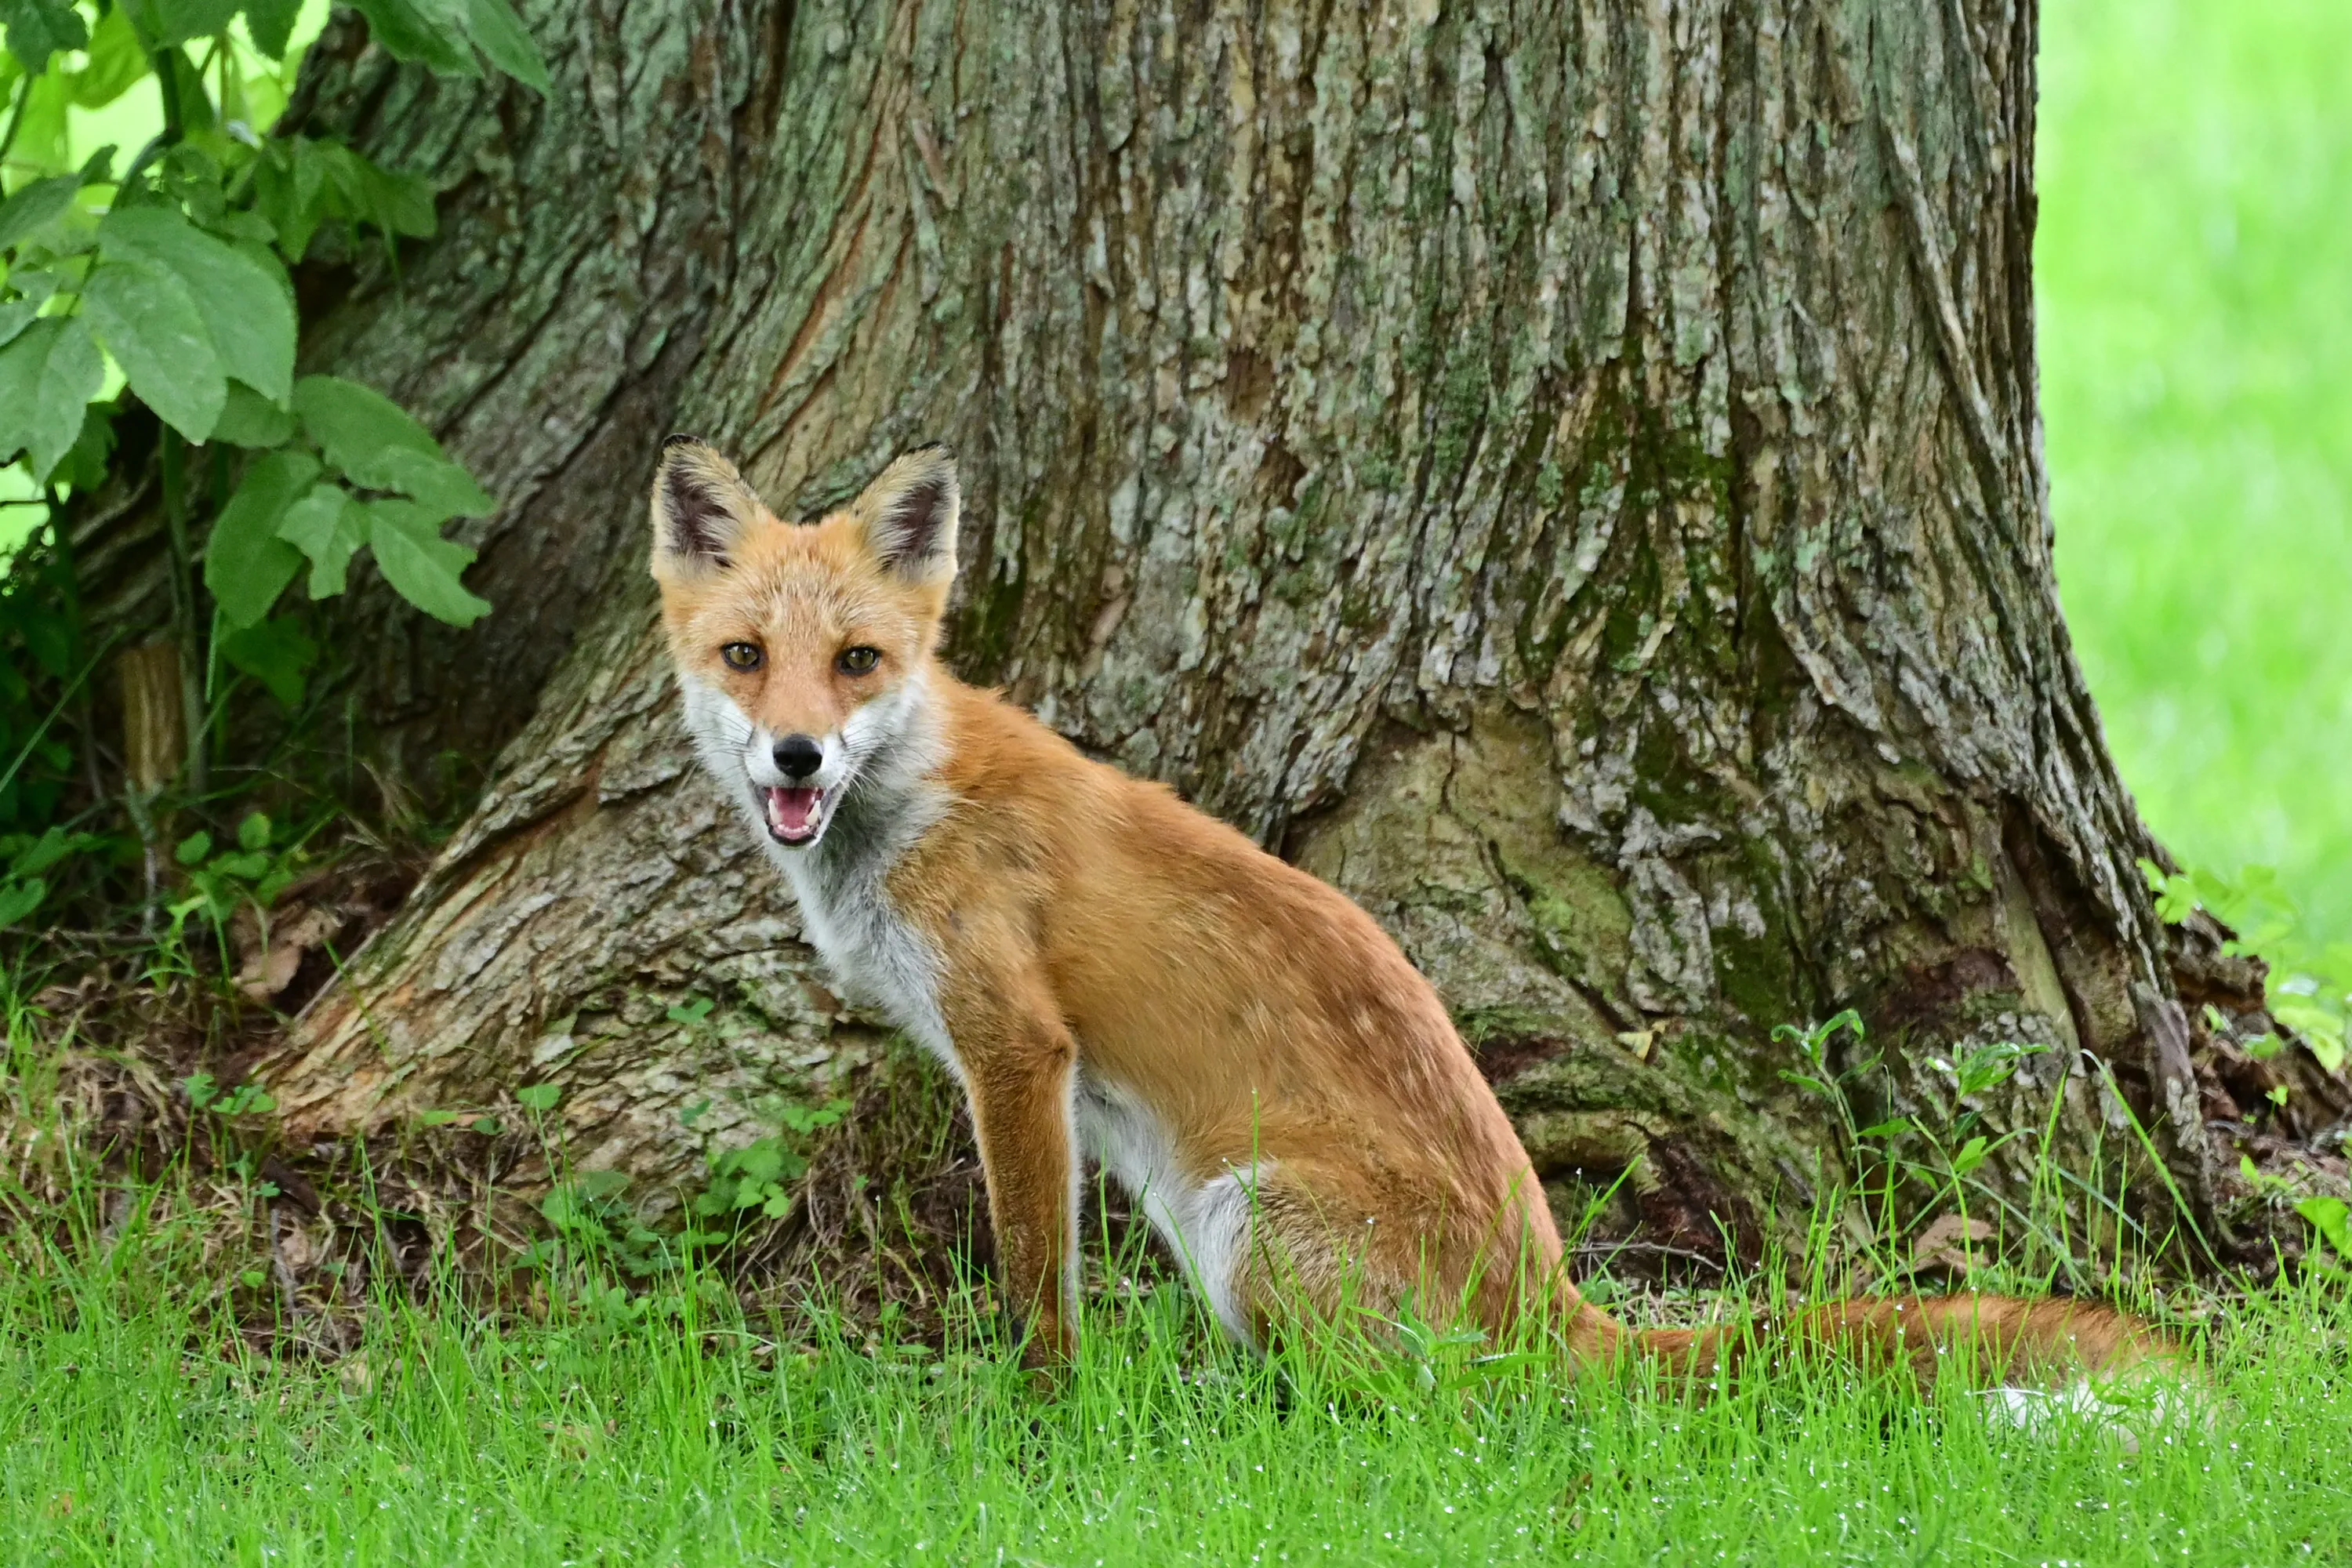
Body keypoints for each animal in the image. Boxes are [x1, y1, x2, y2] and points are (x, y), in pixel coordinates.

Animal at [648, 435, 2182, 1397]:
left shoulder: (1018, 1051)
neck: (912, 804)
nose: (796, 758)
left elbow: (1038, 1291)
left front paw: (1038, 1423)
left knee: (1419, 1422)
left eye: (858, 662)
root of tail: (1552, 1299)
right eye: (747, 657)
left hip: (1247, 1212)